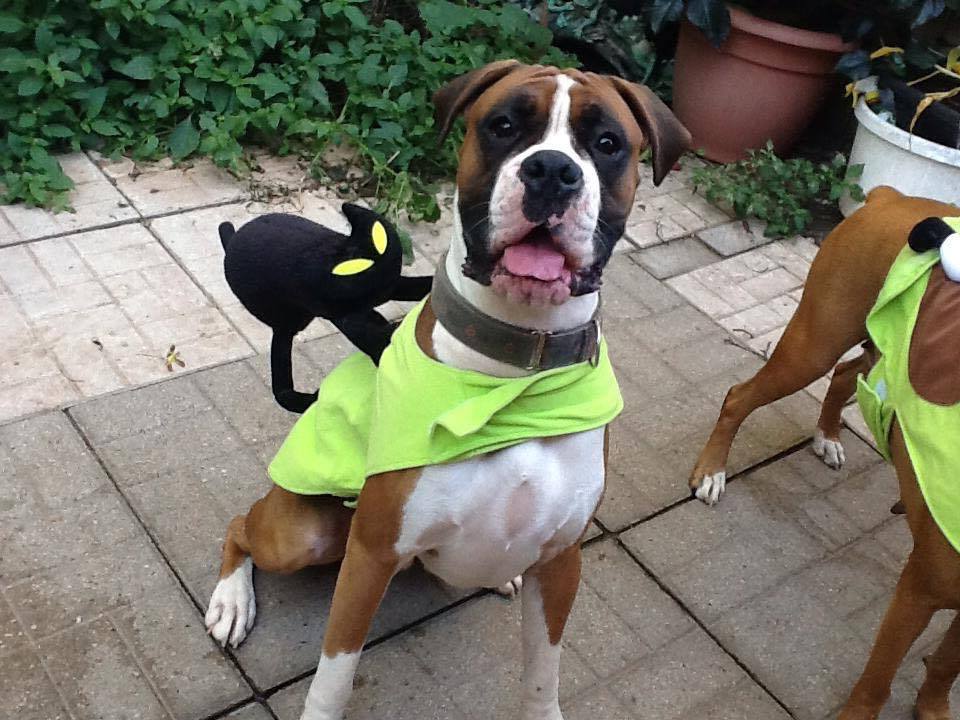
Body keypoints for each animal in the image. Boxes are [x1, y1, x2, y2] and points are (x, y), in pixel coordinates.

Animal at [202, 62, 688, 720]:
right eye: (503, 125)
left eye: (608, 143)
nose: (552, 169)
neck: (513, 376)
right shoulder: (372, 553)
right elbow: (334, 677)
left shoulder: (562, 561)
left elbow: (543, 674)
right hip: (302, 534)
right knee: (240, 526)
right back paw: (231, 601)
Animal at [688, 187, 960, 720]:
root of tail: (893, 196)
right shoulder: (919, 590)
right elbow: (877, 681)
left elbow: (944, 664)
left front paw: (933, 708)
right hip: (812, 345)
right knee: (739, 397)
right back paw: (712, 471)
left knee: (843, 376)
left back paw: (829, 435)